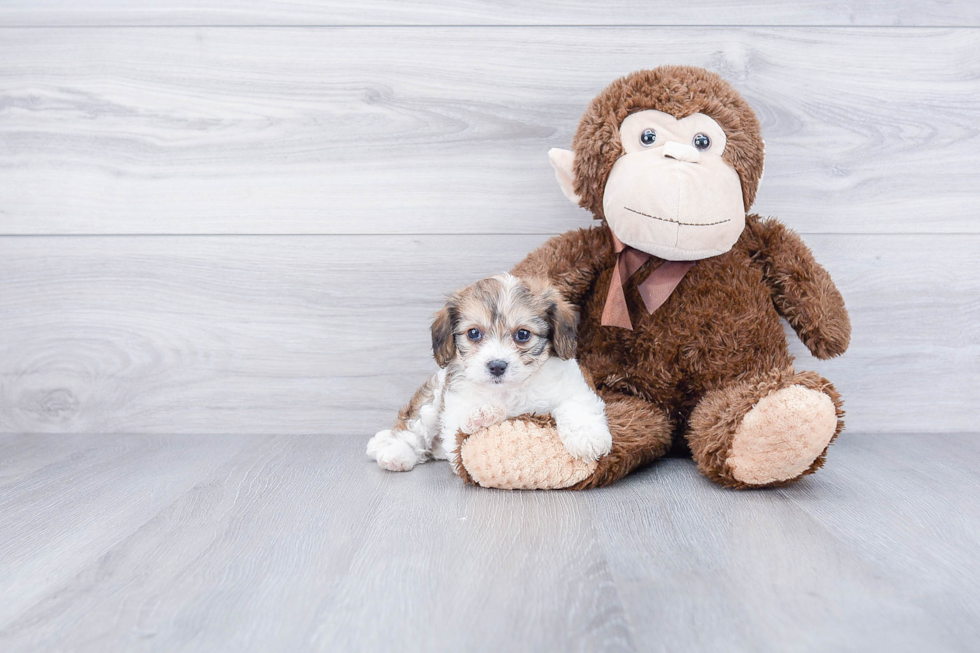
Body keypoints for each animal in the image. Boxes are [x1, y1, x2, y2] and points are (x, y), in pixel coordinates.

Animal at [368, 272, 612, 472]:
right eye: (473, 333)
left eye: (523, 334)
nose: (496, 366)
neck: (509, 390)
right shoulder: (454, 404)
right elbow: (458, 432)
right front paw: (482, 415)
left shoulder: (573, 387)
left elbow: (577, 406)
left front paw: (588, 437)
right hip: (430, 401)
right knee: (411, 429)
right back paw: (395, 453)